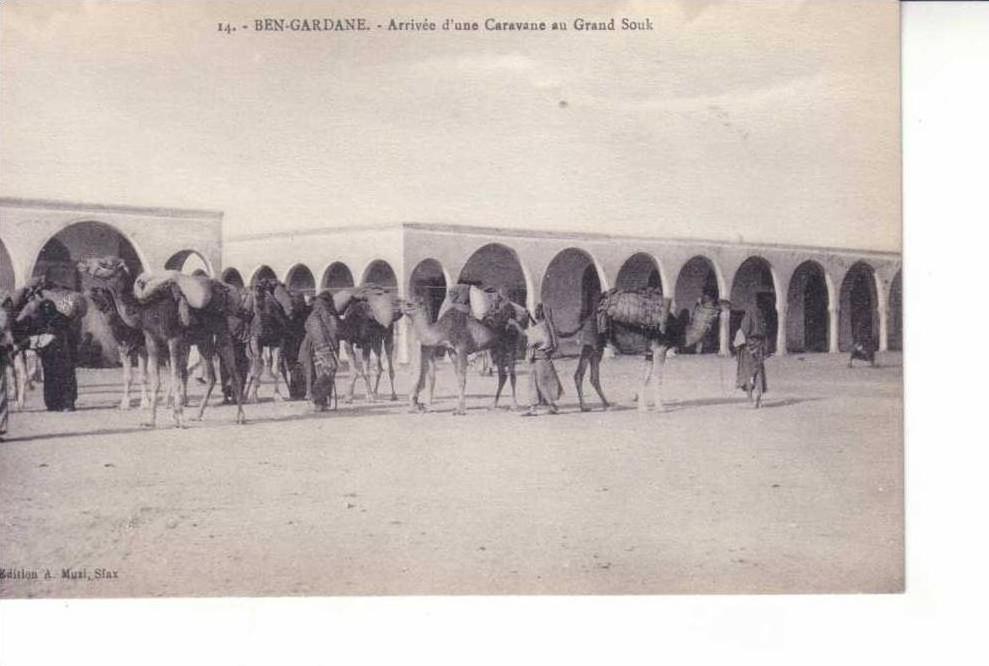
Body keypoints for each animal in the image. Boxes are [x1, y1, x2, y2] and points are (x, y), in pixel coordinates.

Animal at [77, 255, 247, 426]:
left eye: (105, 263)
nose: (82, 263)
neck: (145, 310)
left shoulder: (174, 339)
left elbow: (175, 376)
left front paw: (179, 418)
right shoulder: (151, 340)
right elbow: (156, 380)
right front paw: (151, 420)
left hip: (221, 330)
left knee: (234, 372)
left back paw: (240, 417)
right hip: (202, 339)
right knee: (211, 377)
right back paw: (198, 415)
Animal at [400, 292, 528, 416]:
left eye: (409, 304)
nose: (400, 308)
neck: (443, 330)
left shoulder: (462, 349)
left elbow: (462, 378)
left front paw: (460, 410)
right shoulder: (451, 351)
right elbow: (458, 377)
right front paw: (458, 408)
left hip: (511, 345)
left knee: (512, 374)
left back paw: (514, 406)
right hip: (498, 347)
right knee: (502, 375)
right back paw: (492, 405)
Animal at [596, 290, 724, 412]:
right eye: (712, 302)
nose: (723, 306)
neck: (678, 332)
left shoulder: (649, 352)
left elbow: (646, 377)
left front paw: (642, 408)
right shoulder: (660, 349)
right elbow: (657, 377)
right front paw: (660, 408)